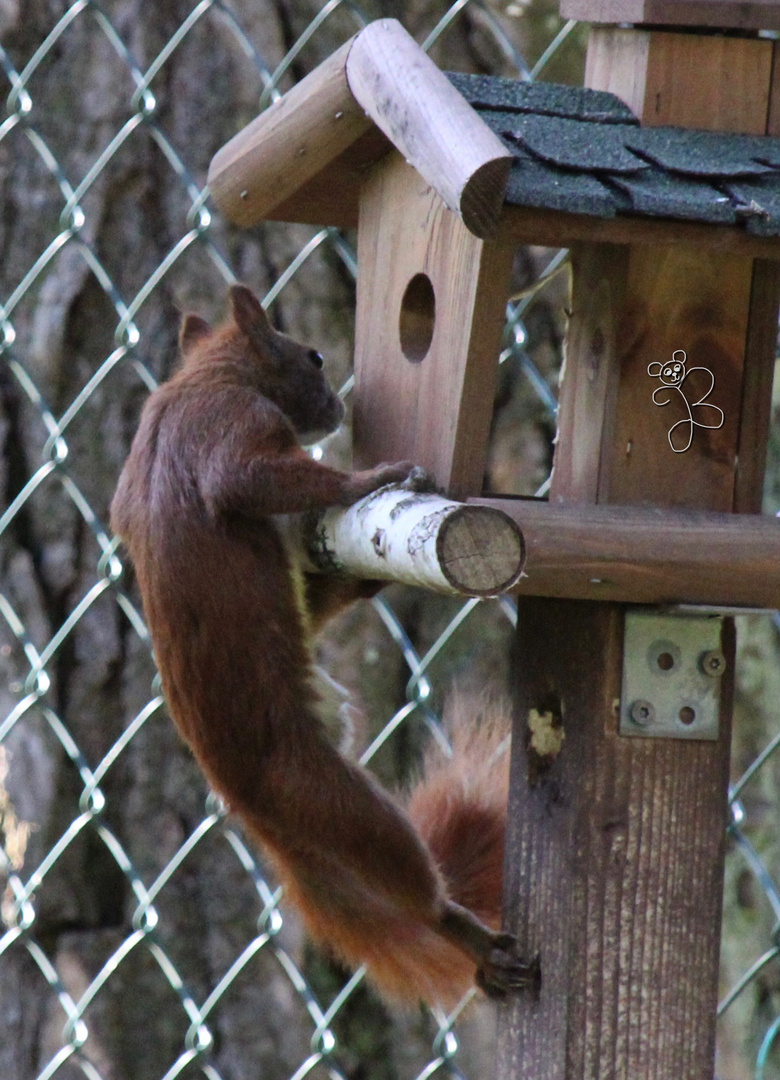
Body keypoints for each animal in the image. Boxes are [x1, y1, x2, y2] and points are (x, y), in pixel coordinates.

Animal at [110, 285, 535, 1002]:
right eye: (311, 356)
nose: (342, 403)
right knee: (405, 874)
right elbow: (249, 479)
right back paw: (462, 929)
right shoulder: (234, 425)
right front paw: (372, 476)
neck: (207, 375)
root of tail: (251, 808)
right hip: (328, 794)